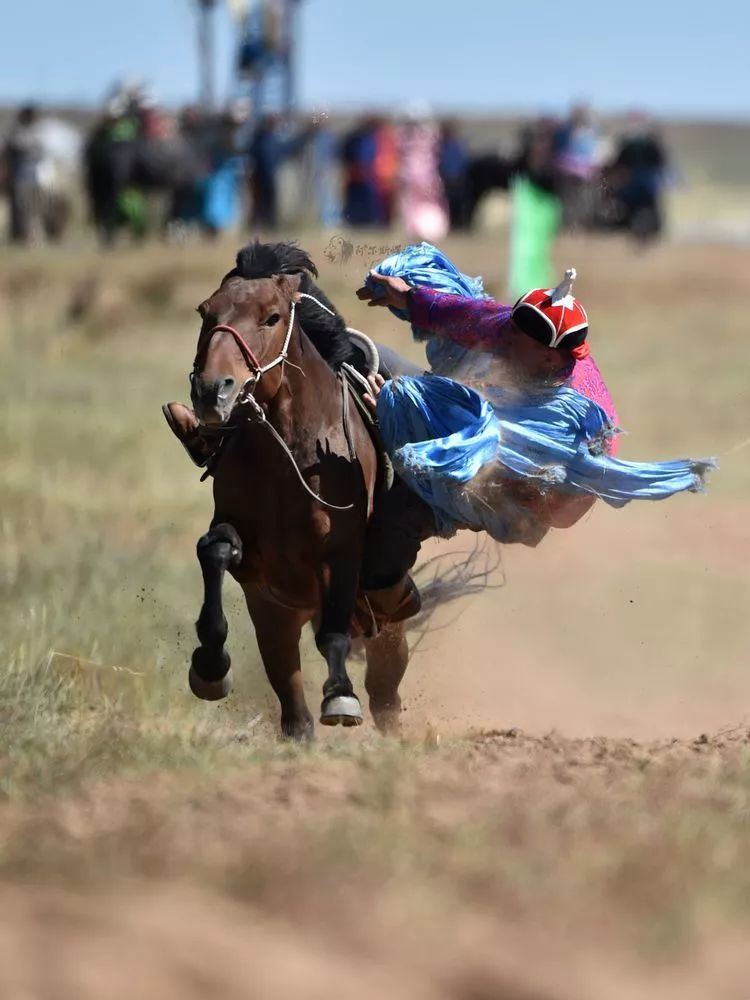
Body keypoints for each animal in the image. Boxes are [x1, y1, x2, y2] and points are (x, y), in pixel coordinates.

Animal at [187, 243, 412, 744]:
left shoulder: (341, 553)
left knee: (385, 667)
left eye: (272, 317)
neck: (287, 453)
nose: (212, 390)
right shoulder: (248, 554)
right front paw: (210, 666)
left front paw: (341, 697)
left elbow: (333, 635)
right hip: (280, 615)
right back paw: (298, 729)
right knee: (288, 684)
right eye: (205, 311)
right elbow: (214, 550)